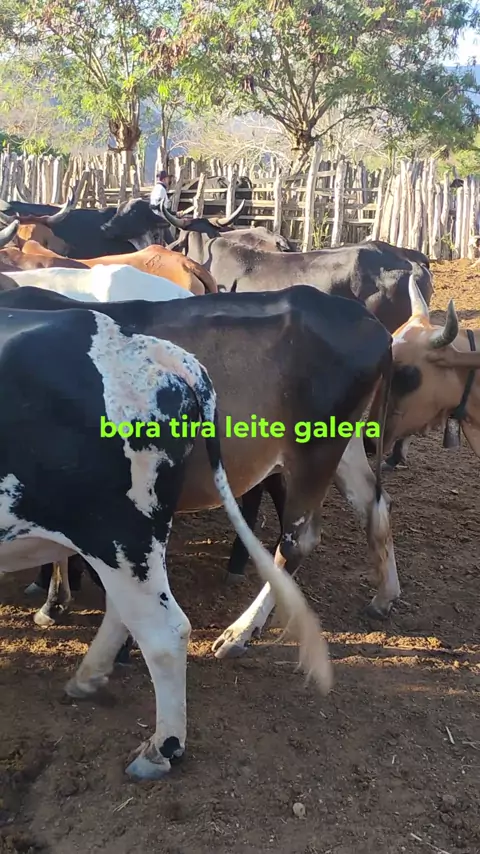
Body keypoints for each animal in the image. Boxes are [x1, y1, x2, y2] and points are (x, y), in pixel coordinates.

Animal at [0, 284, 399, 665]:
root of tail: (370, 322)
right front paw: (55, 601)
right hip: (343, 447)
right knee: (374, 504)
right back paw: (385, 595)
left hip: (314, 452)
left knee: (297, 542)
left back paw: (240, 633)